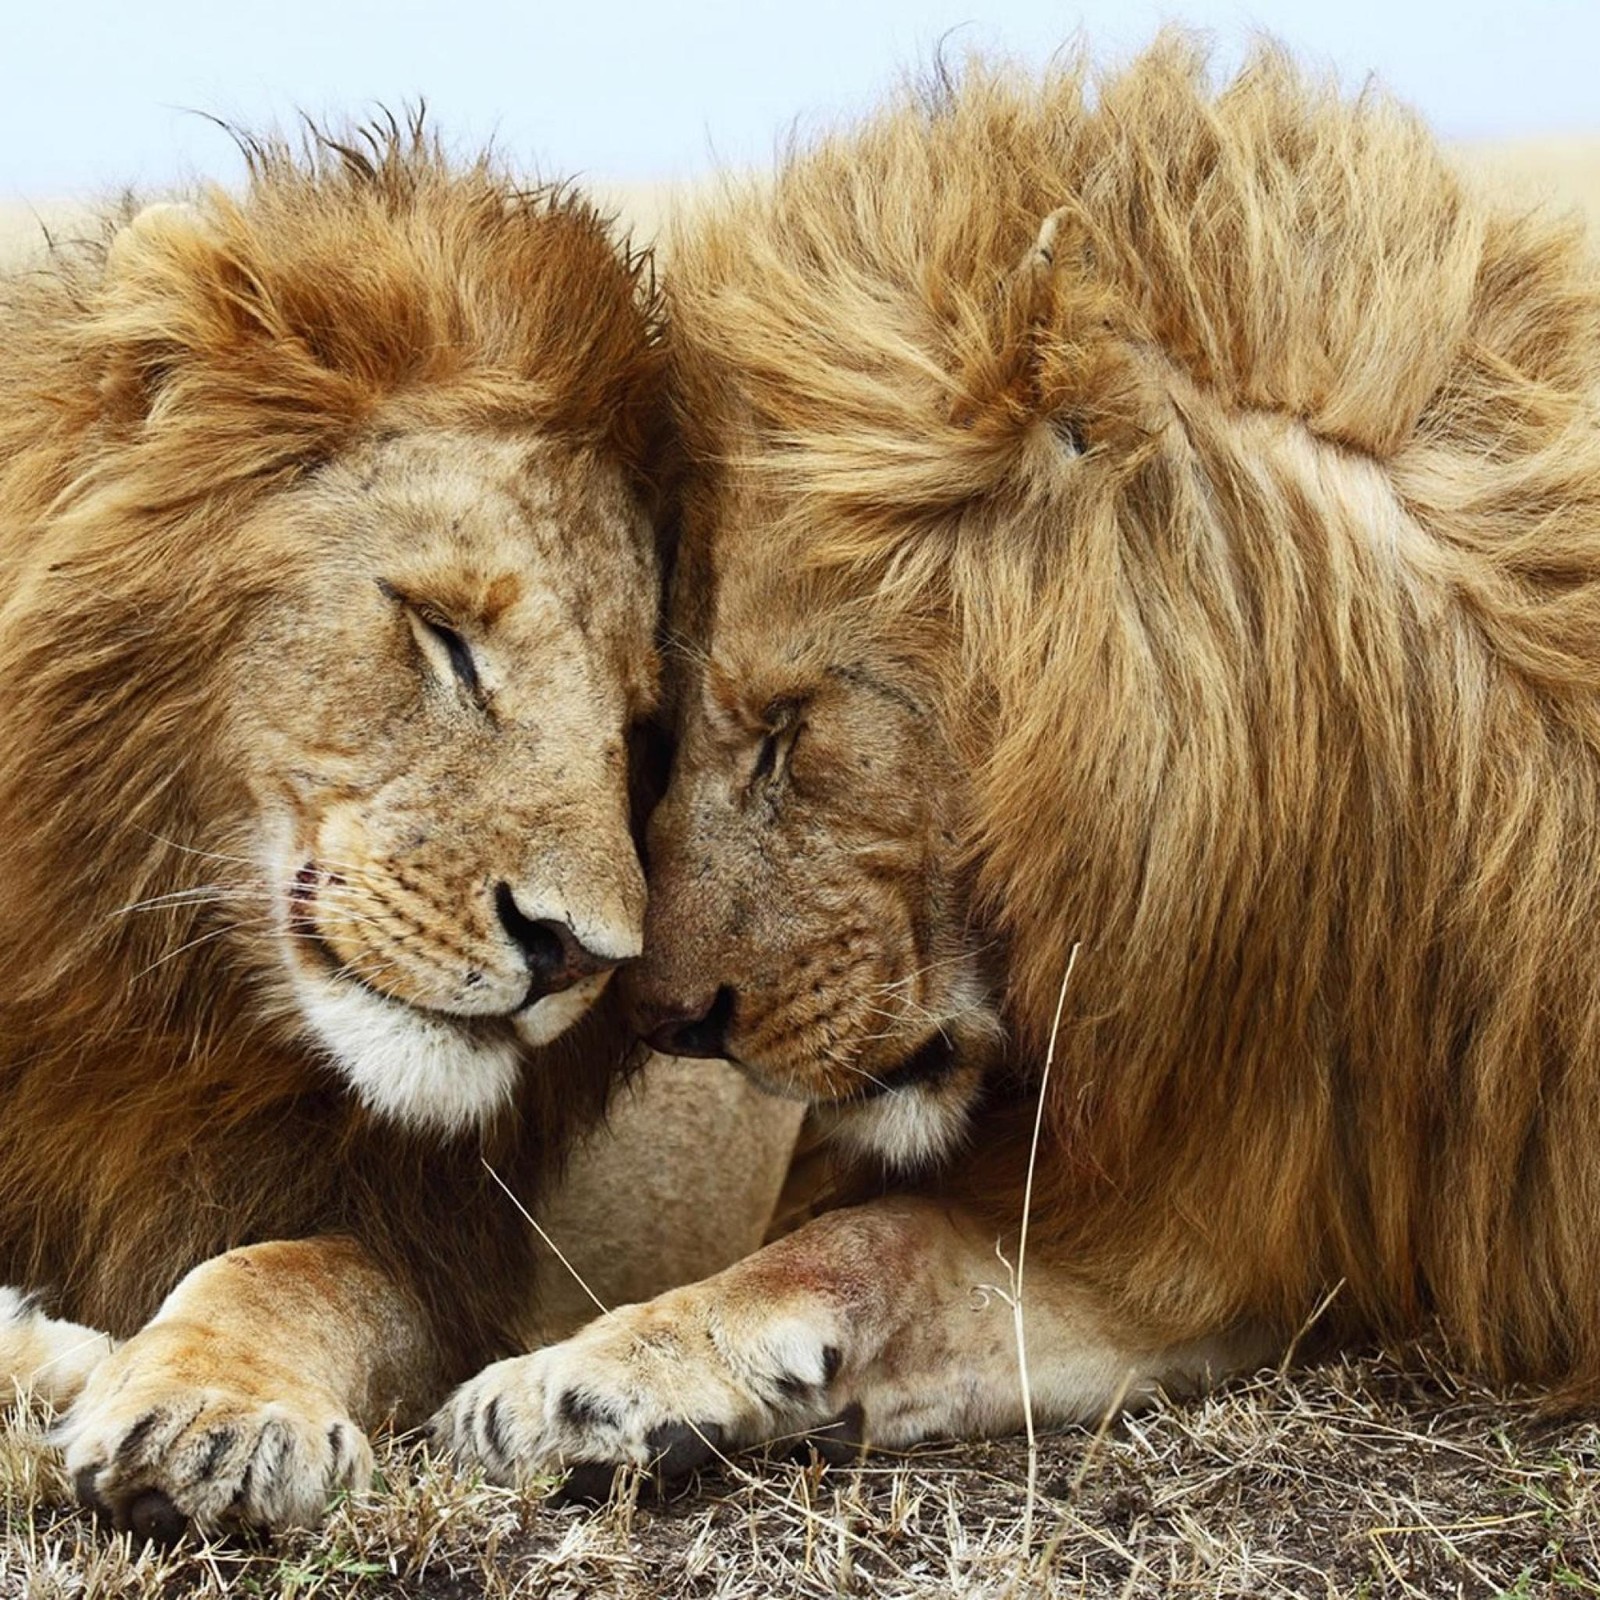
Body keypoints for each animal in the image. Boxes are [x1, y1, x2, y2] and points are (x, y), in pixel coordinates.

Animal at [0, 121, 707, 1523]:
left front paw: (213, 1409)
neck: (151, 987)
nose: (578, 956)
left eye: (637, 727)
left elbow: (297, 1271)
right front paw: (54, 1355)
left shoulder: (435, 1242)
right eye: (444, 637)